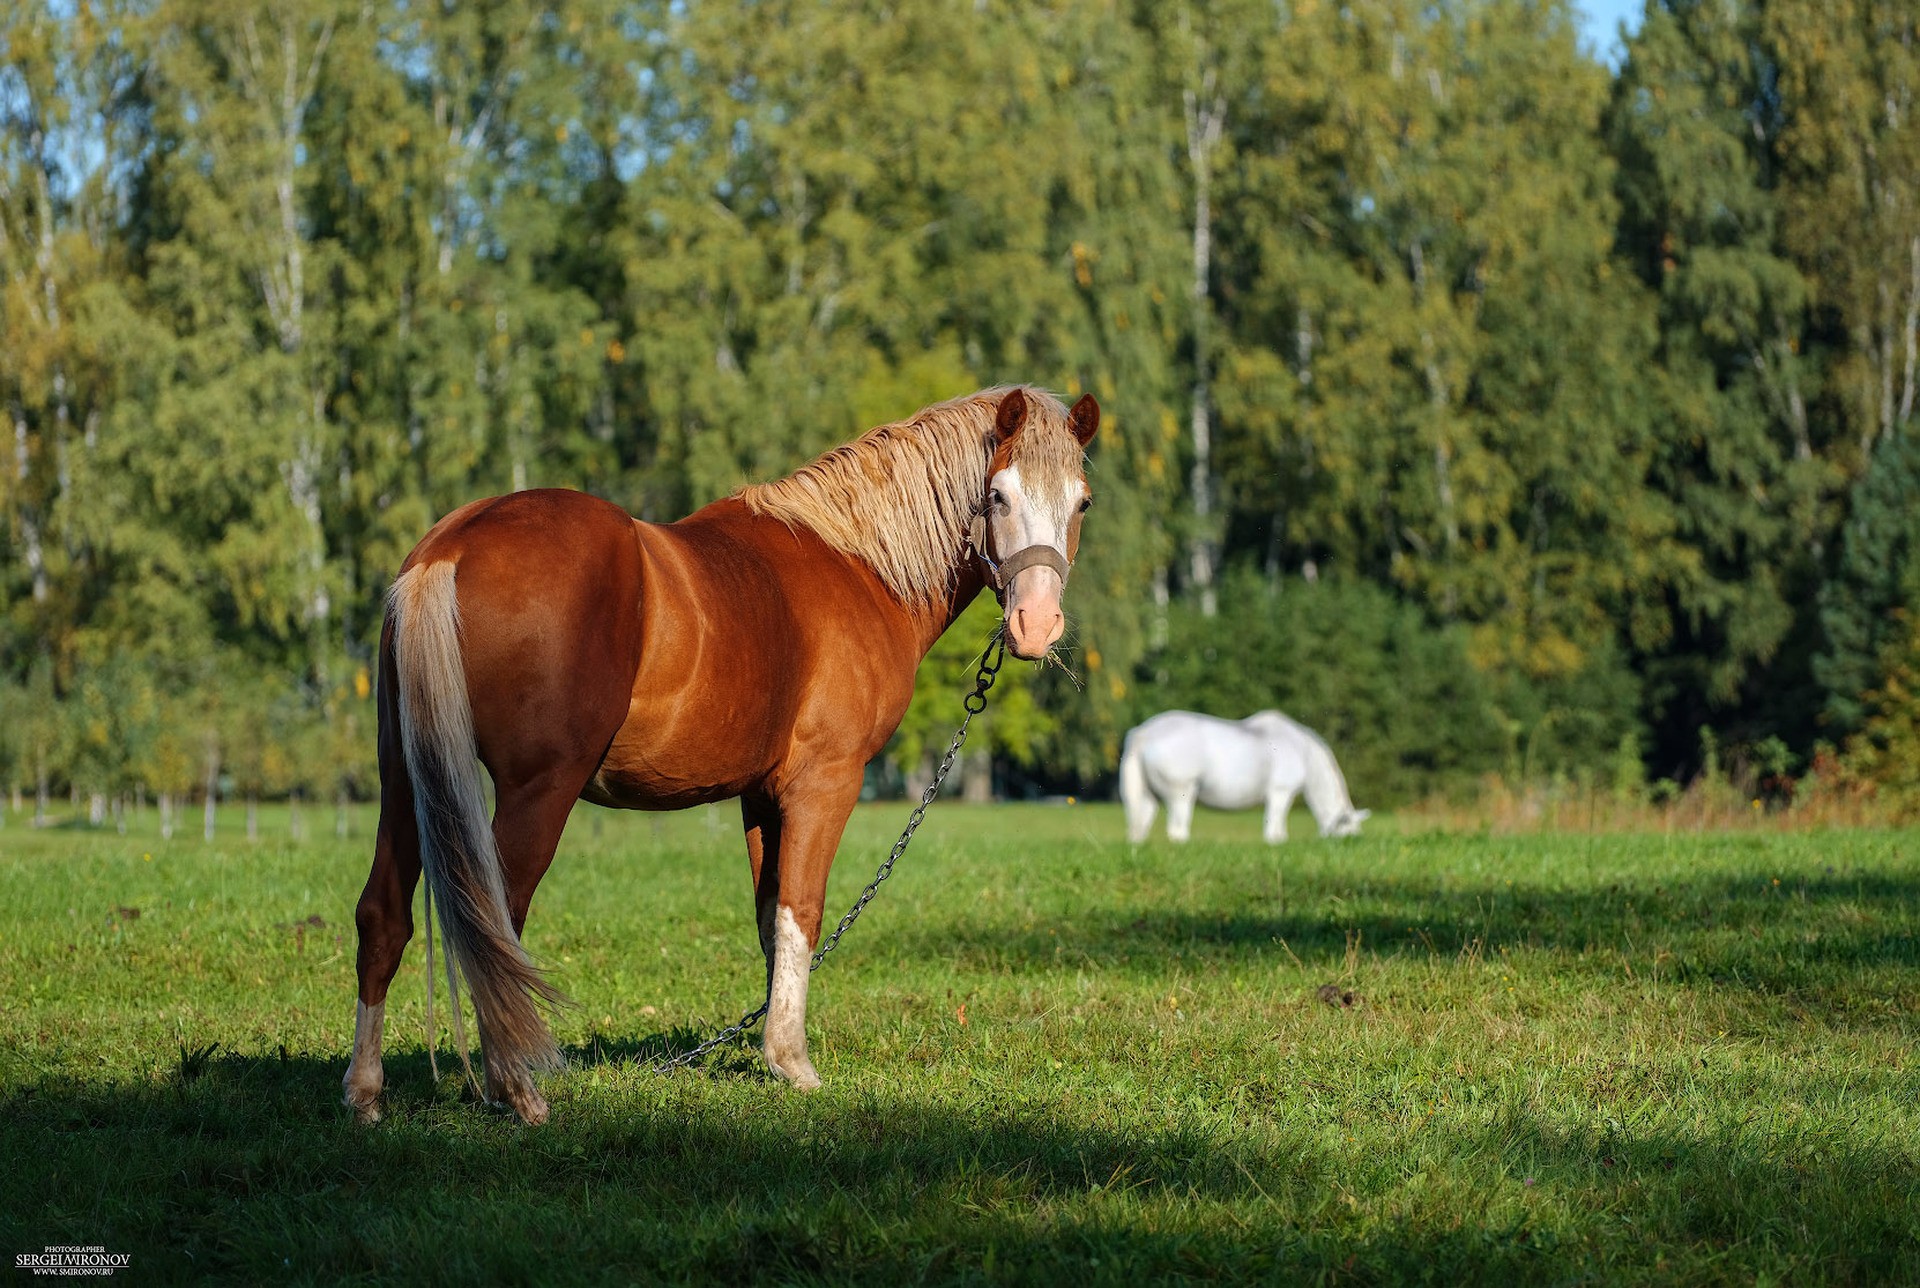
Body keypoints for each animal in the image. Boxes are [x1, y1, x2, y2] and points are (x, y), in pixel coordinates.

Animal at [341, 387, 1098, 1121]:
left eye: (1082, 500)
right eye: (996, 495)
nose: (1035, 625)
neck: (856, 563)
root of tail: (453, 546)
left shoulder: (761, 795)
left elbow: (771, 920)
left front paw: (771, 1048)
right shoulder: (824, 784)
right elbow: (802, 911)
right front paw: (794, 1064)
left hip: (404, 781)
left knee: (383, 915)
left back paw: (366, 1092)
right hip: (538, 790)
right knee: (494, 924)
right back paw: (518, 1092)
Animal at [1121, 706, 1374, 844]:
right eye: (1347, 833)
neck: (1305, 752)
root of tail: (1143, 732)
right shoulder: (1280, 793)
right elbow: (1275, 832)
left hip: (1148, 797)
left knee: (1138, 829)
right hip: (1180, 793)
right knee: (1177, 831)